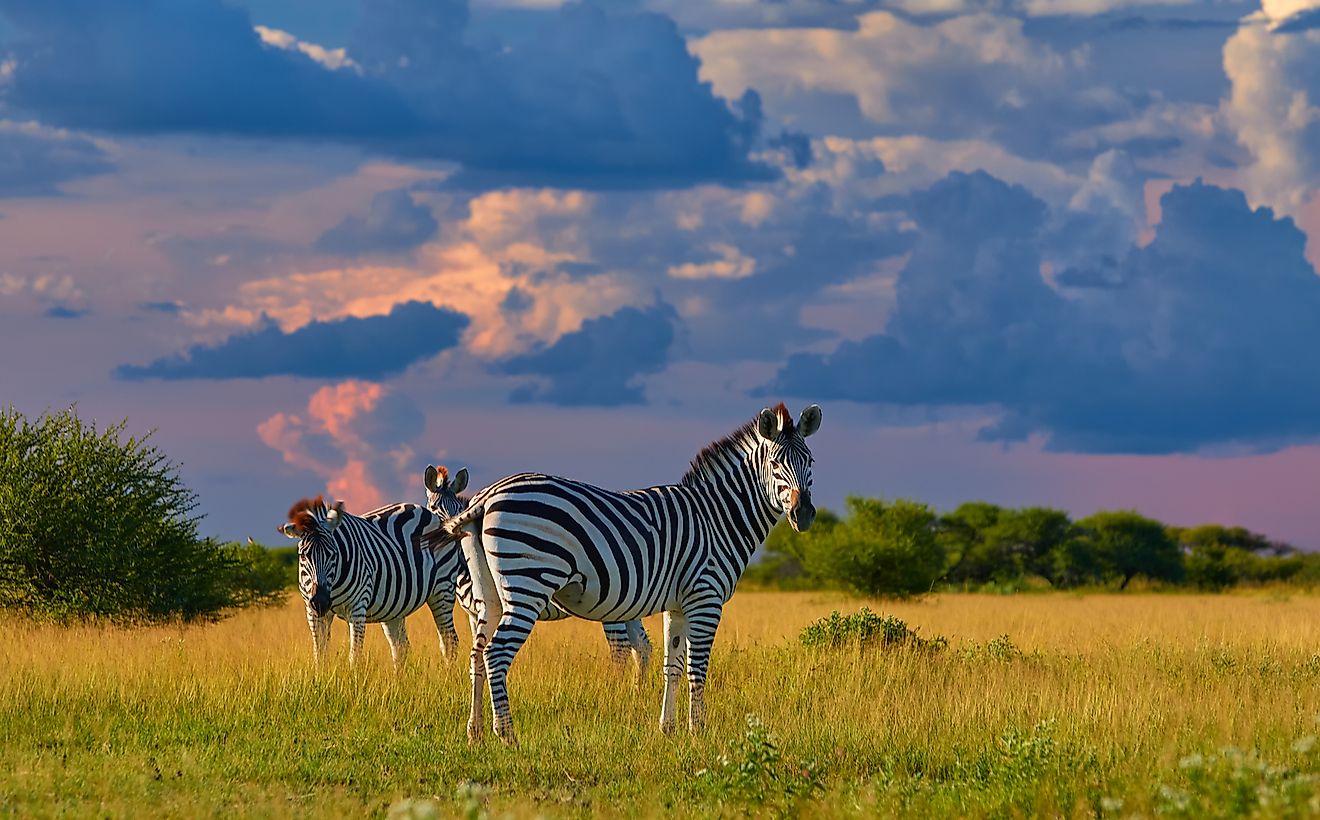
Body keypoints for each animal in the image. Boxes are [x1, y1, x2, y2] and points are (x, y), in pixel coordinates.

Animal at [279, 496, 464, 668]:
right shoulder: (312, 612)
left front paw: (353, 682)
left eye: (333, 554)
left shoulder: (357, 608)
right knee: (401, 649)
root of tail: (431, 514)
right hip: (395, 607)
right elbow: (320, 657)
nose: (320, 602)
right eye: (303, 556)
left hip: (442, 589)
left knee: (450, 642)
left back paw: (448, 676)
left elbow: (354, 658)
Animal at [422, 464, 649, 676]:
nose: (452, 536)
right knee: (642, 645)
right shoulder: (474, 613)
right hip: (628, 601)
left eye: (457, 509)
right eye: (433, 507)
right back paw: (636, 688)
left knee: (620, 648)